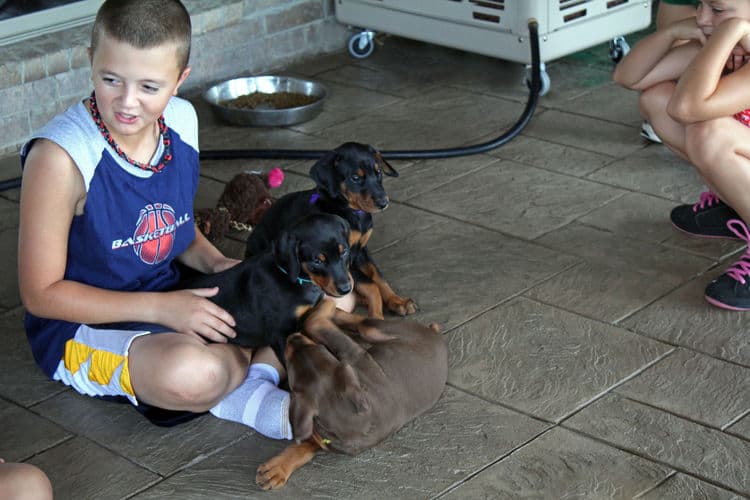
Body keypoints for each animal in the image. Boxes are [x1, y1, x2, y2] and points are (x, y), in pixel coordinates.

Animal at [245, 143, 418, 318]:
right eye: (355, 178)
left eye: (379, 172)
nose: (383, 202)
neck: (349, 210)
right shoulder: (346, 258)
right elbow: (371, 285)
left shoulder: (360, 251)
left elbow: (378, 276)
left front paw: (397, 301)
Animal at [256, 298, 450, 490]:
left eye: (290, 366)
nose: (294, 336)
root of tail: (436, 335)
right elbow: (308, 441)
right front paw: (278, 468)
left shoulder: (355, 354)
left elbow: (317, 325)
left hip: (375, 331)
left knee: (355, 322)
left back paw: (329, 305)